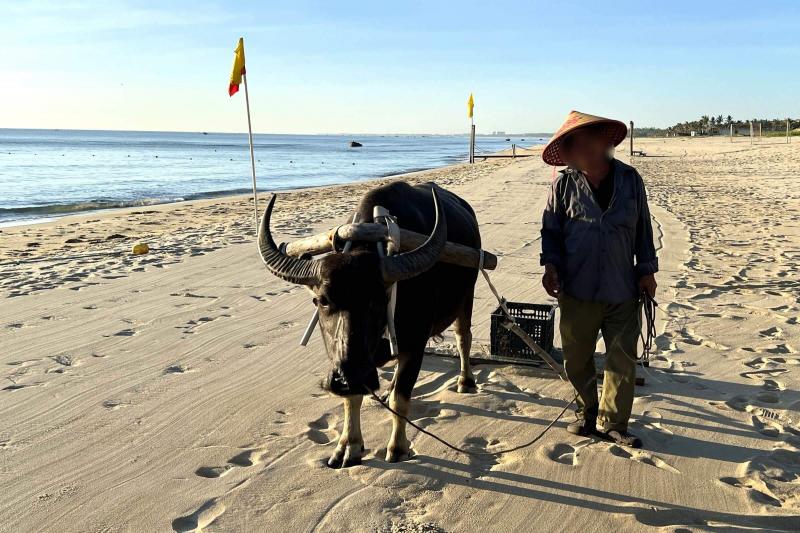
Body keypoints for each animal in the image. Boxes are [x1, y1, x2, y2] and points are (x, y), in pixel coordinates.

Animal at [260, 182, 478, 466]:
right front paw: (349, 446)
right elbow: (351, 399)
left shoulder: (415, 346)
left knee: (464, 337)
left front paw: (398, 447)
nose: (349, 376)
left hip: (467, 297)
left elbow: (401, 399)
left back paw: (466, 381)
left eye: (378, 299)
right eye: (321, 301)